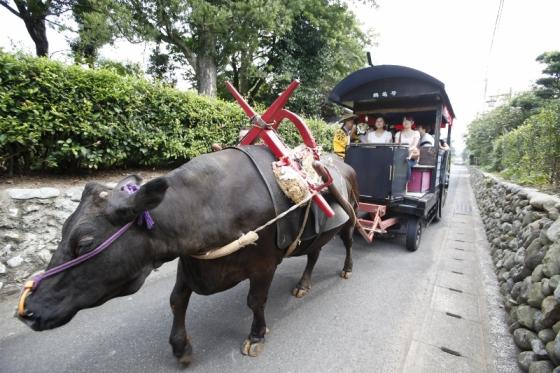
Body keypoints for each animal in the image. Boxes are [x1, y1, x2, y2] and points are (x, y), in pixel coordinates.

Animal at [18, 145, 358, 364]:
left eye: (85, 243)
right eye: (63, 230)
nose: (29, 310)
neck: (212, 203)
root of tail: (342, 165)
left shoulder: (263, 264)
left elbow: (255, 301)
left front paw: (256, 336)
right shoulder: (191, 261)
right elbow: (176, 300)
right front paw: (180, 347)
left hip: (350, 220)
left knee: (349, 242)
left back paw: (347, 268)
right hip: (316, 238)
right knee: (313, 254)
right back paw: (303, 284)